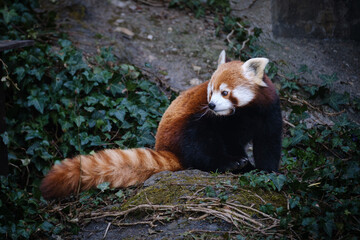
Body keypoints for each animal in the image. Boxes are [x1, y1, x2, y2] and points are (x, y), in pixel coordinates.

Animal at [40, 50, 282, 199]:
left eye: (225, 92)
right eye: (210, 91)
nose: (212, 105)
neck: (247, 111)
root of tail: (167, 148)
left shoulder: (269, 112)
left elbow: (268, 144)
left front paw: (268, 172)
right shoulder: (224, 122)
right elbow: (230, 141)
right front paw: (242, 163)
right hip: (186, 128)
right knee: (201, 148)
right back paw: (228, 164)